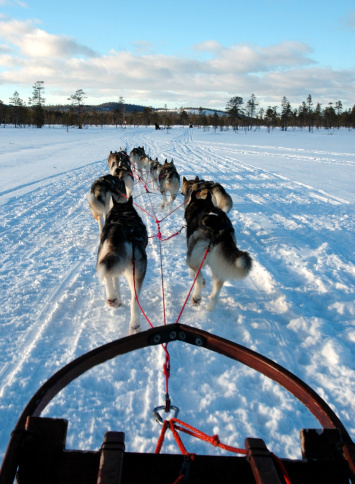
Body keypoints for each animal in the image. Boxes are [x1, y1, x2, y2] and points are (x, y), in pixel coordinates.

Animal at [96, 195, 148, 334]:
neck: (123, 214)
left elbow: (115, 281)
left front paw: (117, 299)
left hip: (103, 257)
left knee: (107, 276)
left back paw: (112, 298)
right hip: (135, 274)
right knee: (134, 300)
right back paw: (134, 324)